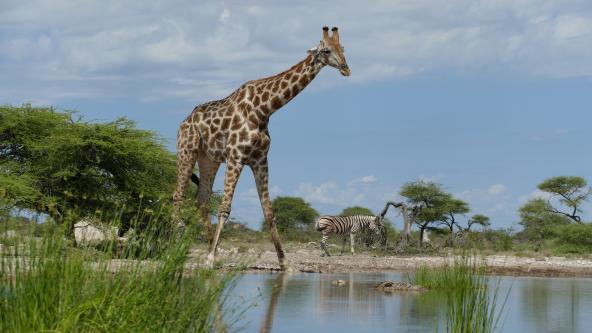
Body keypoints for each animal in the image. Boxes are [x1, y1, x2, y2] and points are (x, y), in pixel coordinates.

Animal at [173, 26, 350, 270]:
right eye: (326, 50)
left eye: (343, 48)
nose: (346, 68)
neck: (264, 109)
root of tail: (184, 122)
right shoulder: (236, 156)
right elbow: (225, 208)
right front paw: (209, 258)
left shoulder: (260, 159)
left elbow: (269, 211)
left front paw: (284, 261)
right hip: (187, 151)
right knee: (178, 195)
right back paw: (174, 245)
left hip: (209, 159)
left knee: (202, 198)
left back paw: (211, 250)